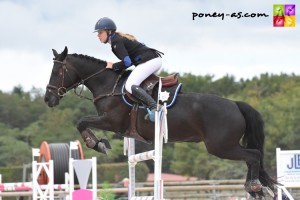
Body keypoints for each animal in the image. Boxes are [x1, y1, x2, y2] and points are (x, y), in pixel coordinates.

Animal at [44, 47, 276, 198]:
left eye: (56, 72)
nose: (48, 99)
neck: (109, 85)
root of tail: (236, 105)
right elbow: (82, 122)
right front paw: (99, 143)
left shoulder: (111, 122)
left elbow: (81, 121)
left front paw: (97, 144)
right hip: (225, 146)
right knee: (252, 157)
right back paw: (254, 187)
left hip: (221, 146)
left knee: (253, 156)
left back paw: (255, 186)